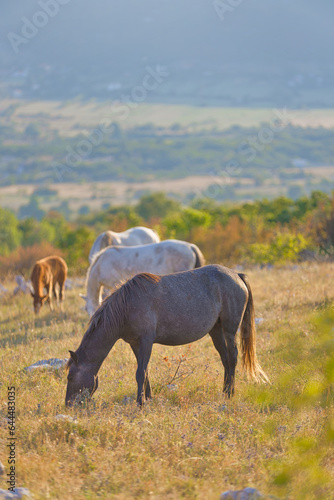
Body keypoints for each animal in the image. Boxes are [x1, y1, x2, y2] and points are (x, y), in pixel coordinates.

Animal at [65, 264, 268, 408]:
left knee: (232, 357)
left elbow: (140, 373)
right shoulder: (135, 344)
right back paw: (225, 392)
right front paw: (148, 398)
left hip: (229, 329)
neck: (126, 307)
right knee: (225, 359)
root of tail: (237, 275)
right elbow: (145, 372)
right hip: (215, 331)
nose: (69, 406)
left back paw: (231, 393)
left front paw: (140, 403)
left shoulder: (146, 342)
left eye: (70, 378)